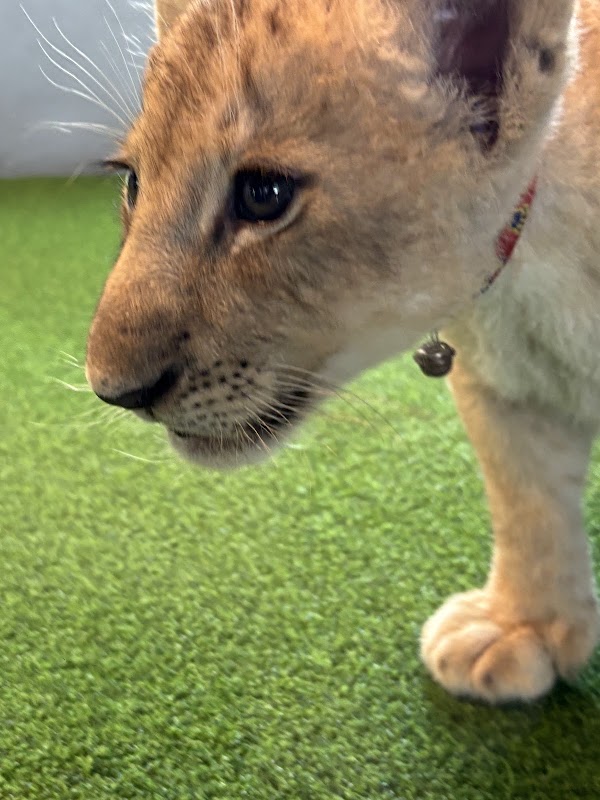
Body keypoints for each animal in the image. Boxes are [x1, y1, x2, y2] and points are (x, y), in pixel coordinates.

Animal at [86, 0, 600, 703]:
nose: (114, 391)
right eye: (134, 183)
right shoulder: (500, 381)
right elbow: (528, 498)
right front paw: (524, 625)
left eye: (264, 195)